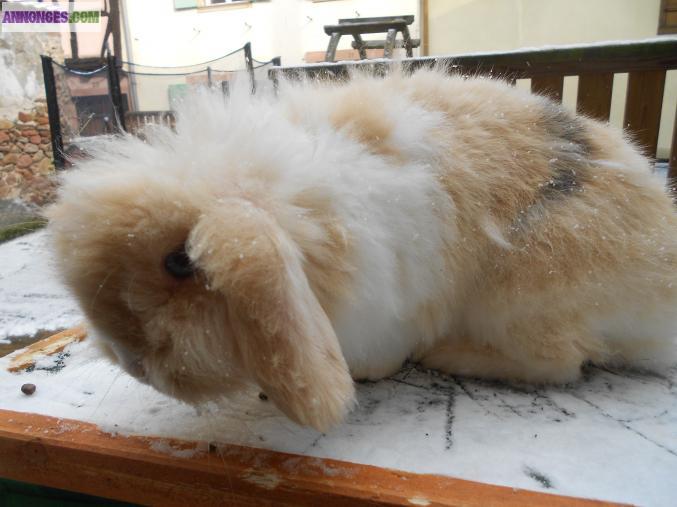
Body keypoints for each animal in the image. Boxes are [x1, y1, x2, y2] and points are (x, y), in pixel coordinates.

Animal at [46, 67, 677, 431]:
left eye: (180, 261)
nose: (130, 362)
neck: (298, 217)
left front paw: (370, 372)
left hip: (524, 293)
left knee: (562, 362)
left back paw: (448, 355)